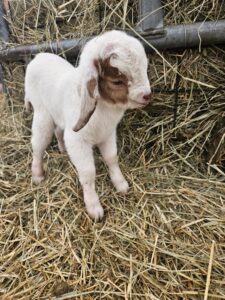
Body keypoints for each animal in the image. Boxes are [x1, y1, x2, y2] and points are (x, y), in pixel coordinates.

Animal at [25, 30, 151, 220]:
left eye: (145, 68)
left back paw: (62, 149)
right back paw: (38, 174)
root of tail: (38, 56)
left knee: (58, 131)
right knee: (38, 145)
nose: (147, 95)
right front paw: (94, 207)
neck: (103, 109)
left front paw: (120, 183)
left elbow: (112, 158)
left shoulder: (108, 134)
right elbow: (88, 172)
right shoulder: (78, 140)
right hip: (42, 114)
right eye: (116, 81)